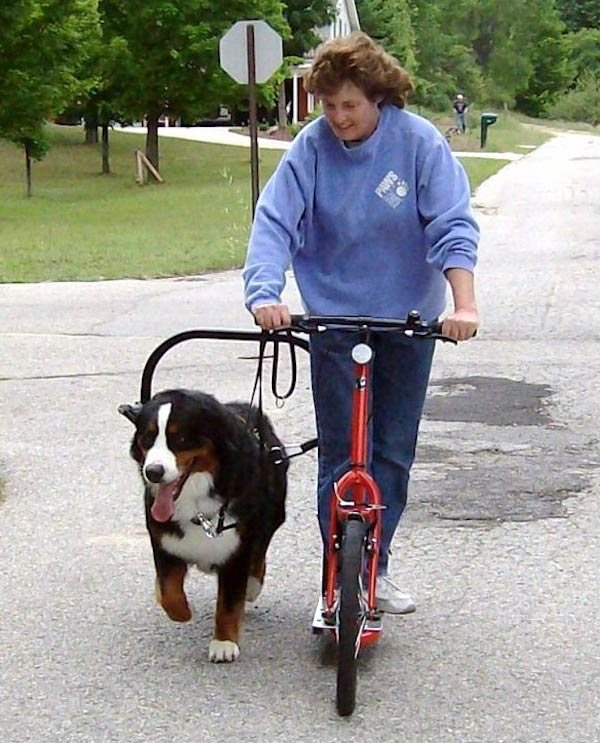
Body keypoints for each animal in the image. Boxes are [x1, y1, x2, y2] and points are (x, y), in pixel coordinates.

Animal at [119, 390, 288, 664]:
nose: (153, 471)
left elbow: (228, 603)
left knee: (259, 552)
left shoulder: (236, 548)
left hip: (271, 514)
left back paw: (252, 586)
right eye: (148, 437)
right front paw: (182, 612)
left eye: (180, 438)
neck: (195, 502)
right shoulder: (164, 542)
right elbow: (168, 591)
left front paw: (224, 643)